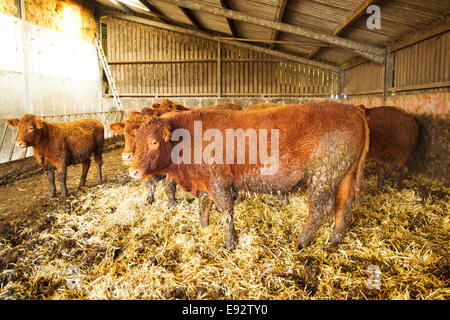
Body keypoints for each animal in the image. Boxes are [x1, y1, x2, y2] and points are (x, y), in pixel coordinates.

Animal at [129, 102, 370, 250]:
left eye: (154, 142)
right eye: (135, 141)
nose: (133, 171)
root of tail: (352, 109)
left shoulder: (219, 181)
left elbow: (226, 213)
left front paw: (230, 243)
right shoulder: (205, 181)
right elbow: (205, 204)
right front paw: (204, 224)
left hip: (323, 175)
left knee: (320, 210)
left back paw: (301, 241)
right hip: (344, 174)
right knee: (343, 205)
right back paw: (336, 239)